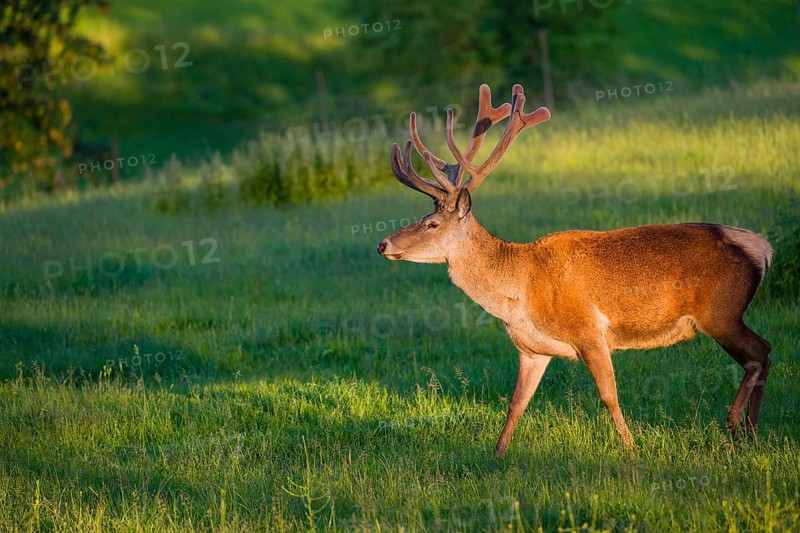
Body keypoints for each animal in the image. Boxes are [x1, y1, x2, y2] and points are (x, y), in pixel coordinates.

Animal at [376, 83, 773, 456]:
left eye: (432, 224)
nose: (383, 244)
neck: (520, 290)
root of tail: (762, 247)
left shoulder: (589, 330)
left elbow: (609, 395)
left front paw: (631, 448)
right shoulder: (532, 349)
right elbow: (516, 403)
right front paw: (497, 454)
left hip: (720, 311)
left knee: (760, 352)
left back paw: (736, 423)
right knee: (762, 353)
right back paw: (751, 430)